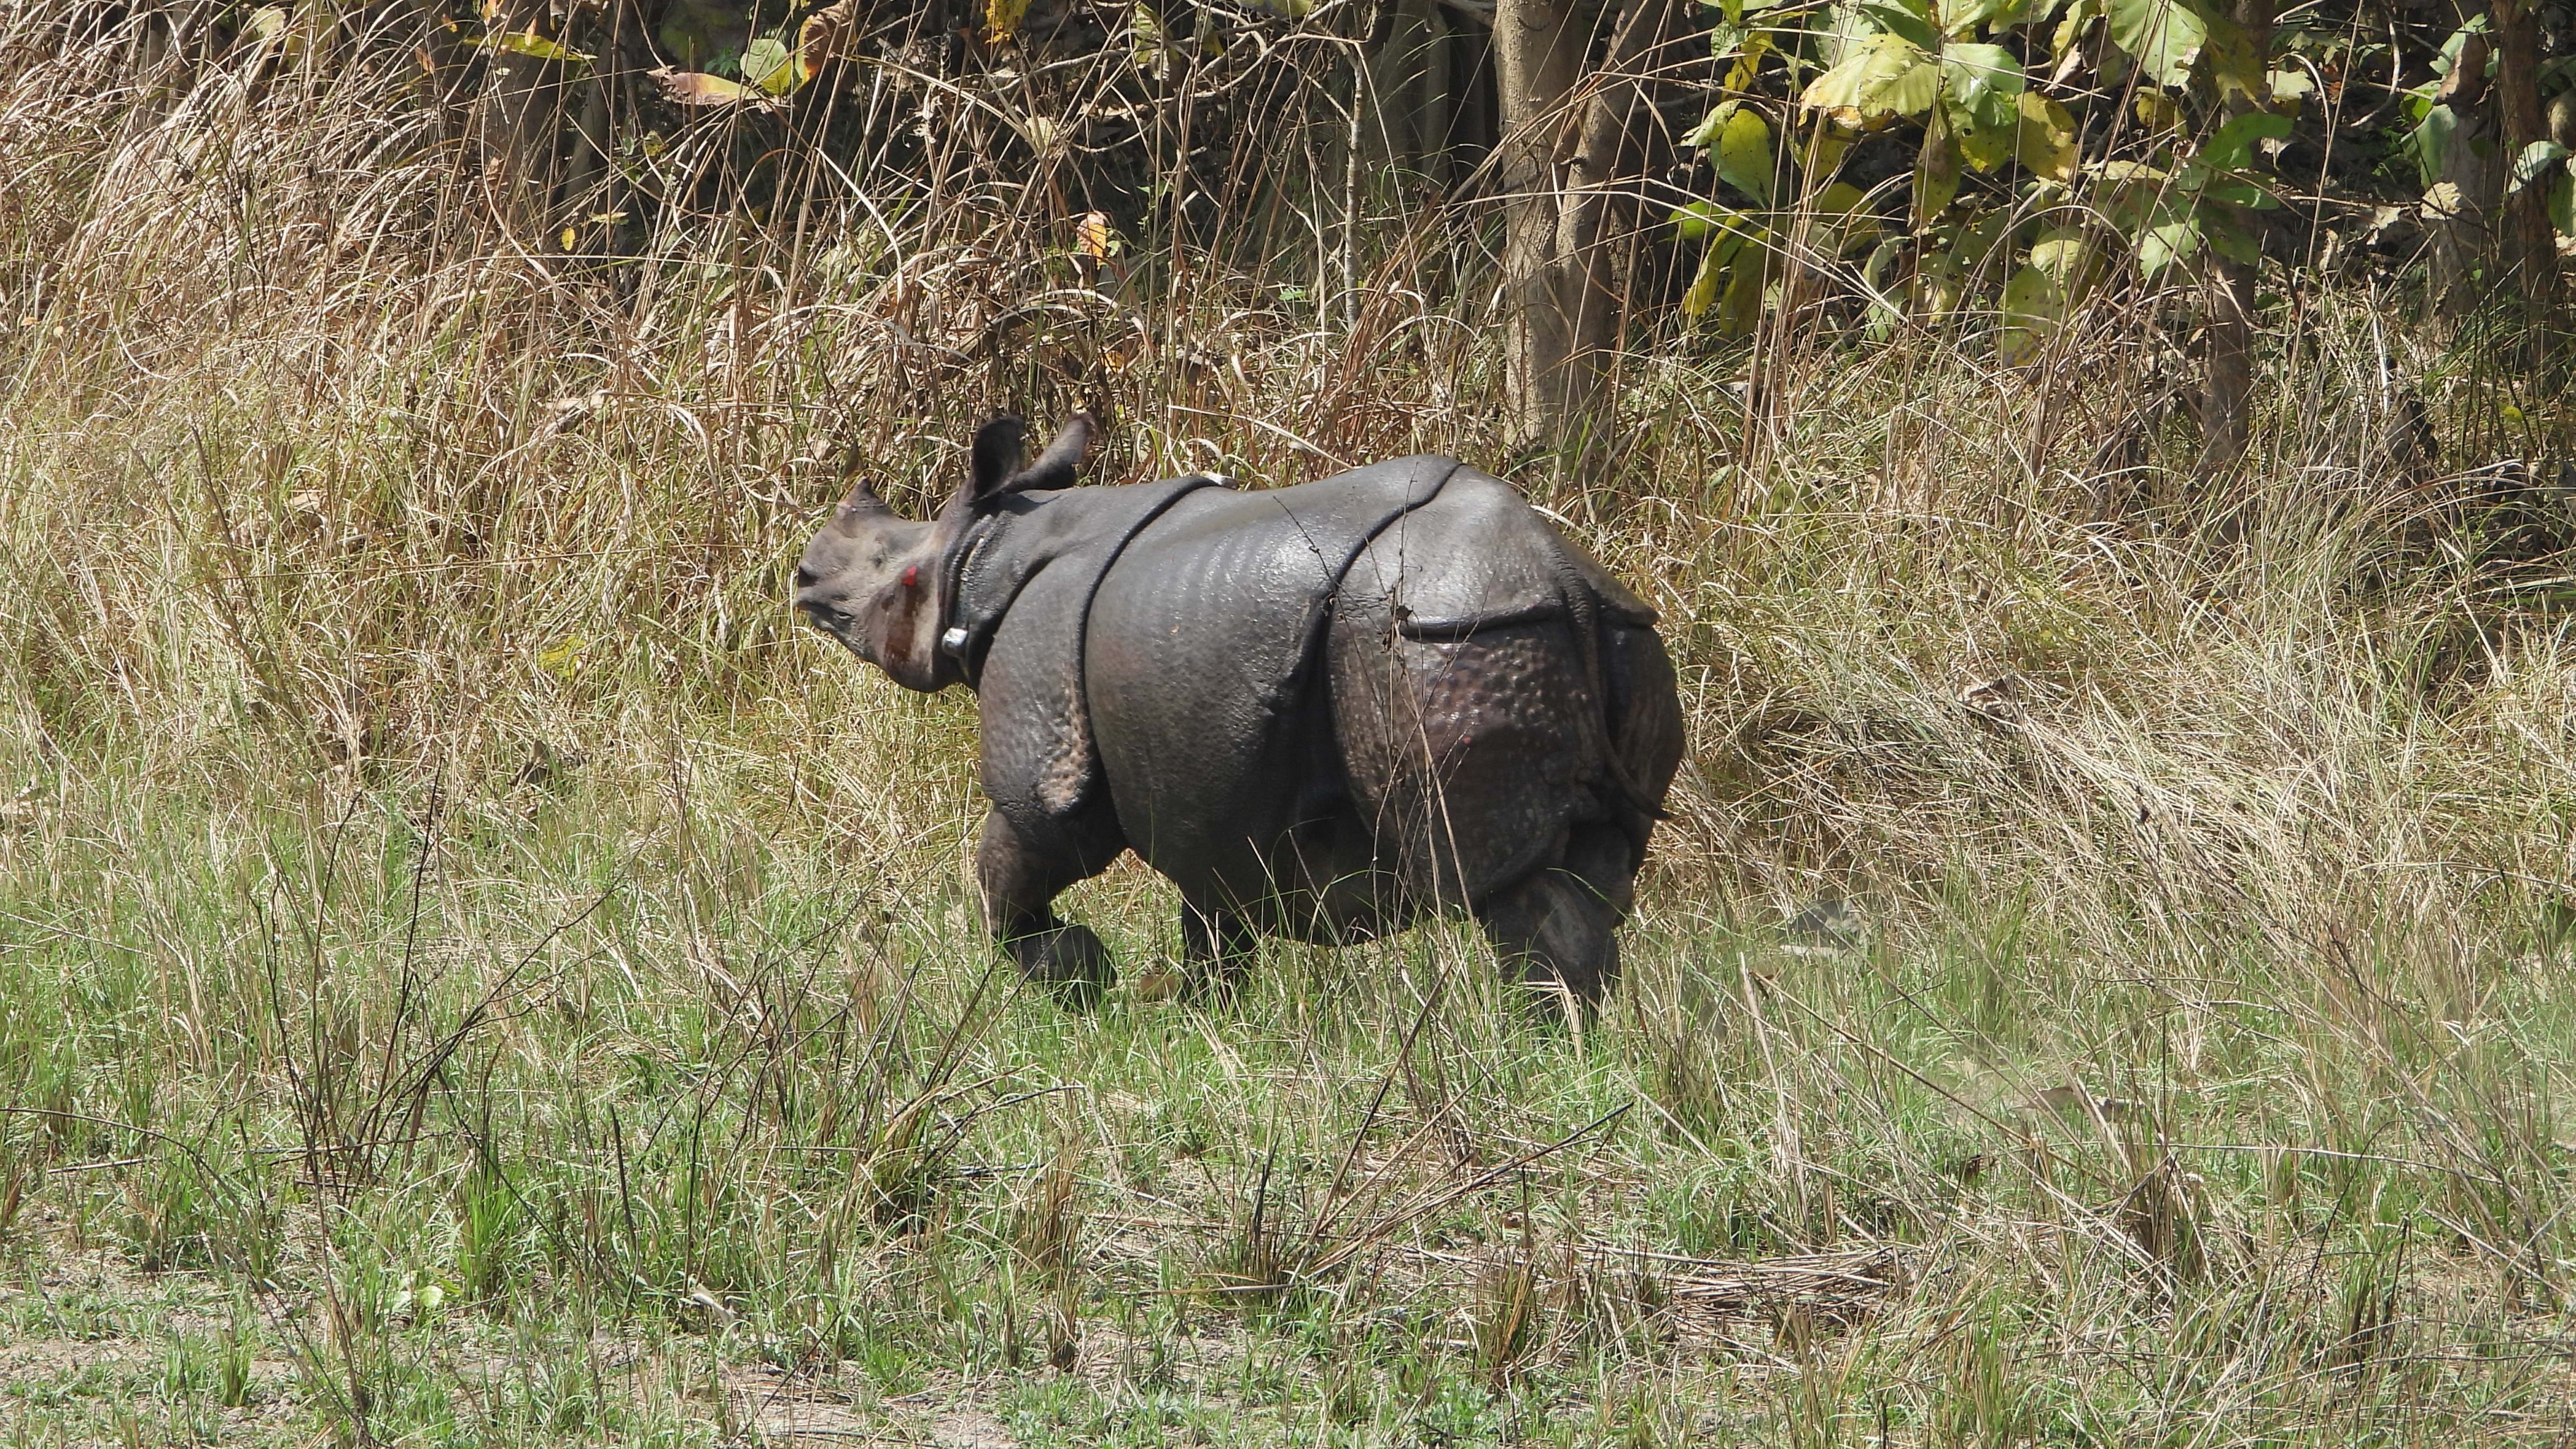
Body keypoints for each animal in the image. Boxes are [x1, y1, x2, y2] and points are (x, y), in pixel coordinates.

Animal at [794, 413, 1684, 1011]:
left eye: (897, 579)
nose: (802, 576)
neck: (980, 555)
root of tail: (1562, 581)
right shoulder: (1207, 777)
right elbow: (1216, 907)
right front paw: (1203, 1018)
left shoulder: (1044, 738)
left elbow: (1015, 856)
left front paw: (1079, 980)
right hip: (1619, 639)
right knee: (1596, 867)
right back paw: (1577, 1044)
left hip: (1450, 636)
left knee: (1505, 884)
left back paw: (1533, 1044)